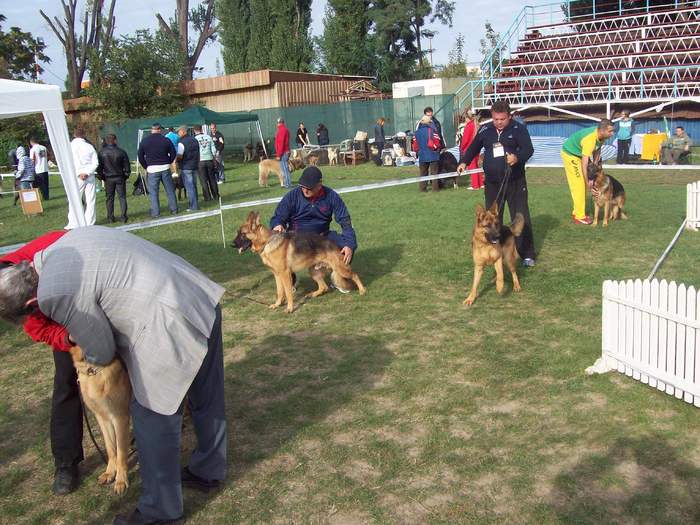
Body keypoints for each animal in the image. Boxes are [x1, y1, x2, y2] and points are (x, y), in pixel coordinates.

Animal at [70, 346, 133, 494]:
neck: (92, 369)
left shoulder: (119, 417)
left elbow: (121, 451)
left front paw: (121, 480)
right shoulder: (103, 418)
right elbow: (111, 448)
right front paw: (110, 472)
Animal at [234, 211, 370, 314]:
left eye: (243, 234)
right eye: (238, 233)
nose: (232, 244)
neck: (267, 242)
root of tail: (335, 245)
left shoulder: (284, 274)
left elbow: (288, 293)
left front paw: (289, 308)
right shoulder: (277, 275)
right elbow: (279, 292)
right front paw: (277, 304)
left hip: (340, 269)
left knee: (354, 275)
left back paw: (362, 291)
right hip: (313, 271)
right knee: (324, 287)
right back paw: (312, 294)